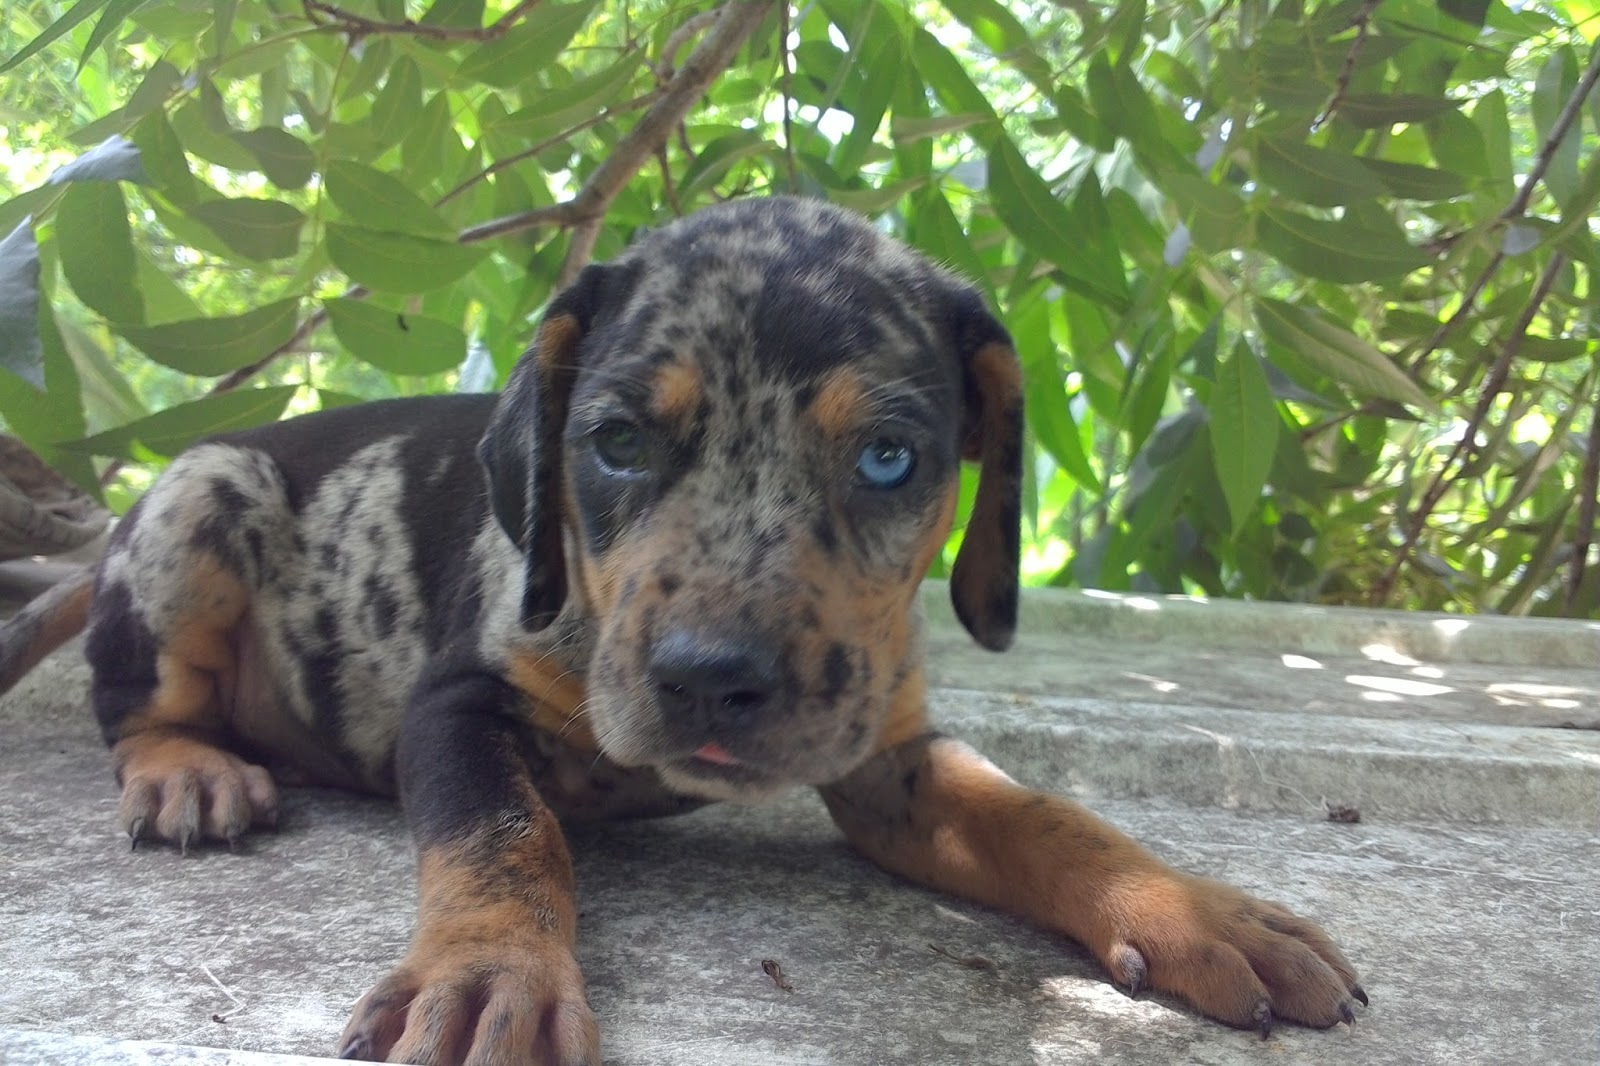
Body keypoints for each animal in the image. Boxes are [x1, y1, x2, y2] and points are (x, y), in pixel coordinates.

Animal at [0, 197, 1363, 1064]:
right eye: (613, 441)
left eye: (889, 457)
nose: (712, 681)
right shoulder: (458, 706)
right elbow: (504, 838)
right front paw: (490, 974)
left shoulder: (889, 759)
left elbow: (1048, 816)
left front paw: (1199, 909)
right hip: (204, 495)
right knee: (138, 703)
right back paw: (188, 768)